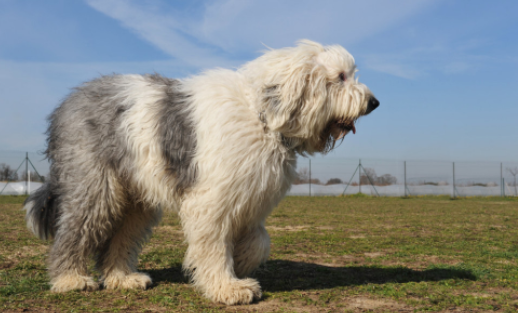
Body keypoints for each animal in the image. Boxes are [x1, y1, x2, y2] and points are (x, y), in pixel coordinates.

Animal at [24, 40, 380, 304]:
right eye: (340, 77)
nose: (374, 103)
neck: (261, 115)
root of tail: (66, 104)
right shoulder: (212, 200)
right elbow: (213, 244)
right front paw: (228, 287)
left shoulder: (250, 197)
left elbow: (259, 240)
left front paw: (243, 262)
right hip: (96, 185)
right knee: (75, 230)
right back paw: (70, 278)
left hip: (136, 197)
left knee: (122, 235)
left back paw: (123, 278)